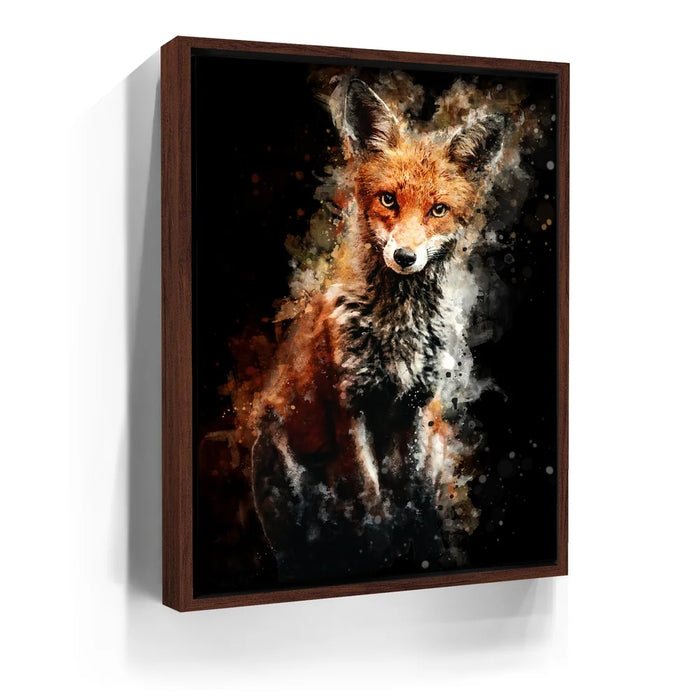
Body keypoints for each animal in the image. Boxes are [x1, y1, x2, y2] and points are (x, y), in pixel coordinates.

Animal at [251, 78, 504, 584]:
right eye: (388, 200)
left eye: (438, 210)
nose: (405, 256)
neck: (397, 329)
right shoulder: (349, 406)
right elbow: (371, 499)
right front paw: (382, 551)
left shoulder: (416, 405)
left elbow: (412, 496)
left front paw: (420, 550)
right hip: (278, 455)